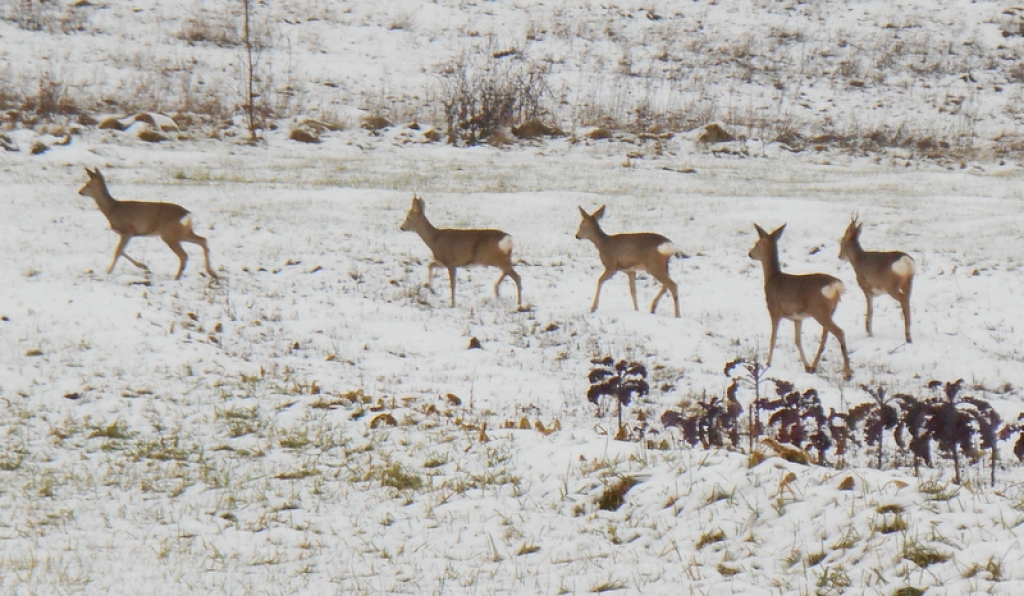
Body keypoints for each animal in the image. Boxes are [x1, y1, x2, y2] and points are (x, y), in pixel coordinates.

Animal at [78, 166, 218, 280]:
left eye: (88, 184)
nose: (80, 192)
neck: (112, 209)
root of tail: (186, 213)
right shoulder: (128, 233)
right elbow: (121, 250)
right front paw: (144, 266)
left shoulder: (127, 230)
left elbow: (117, 251)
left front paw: (108, 271)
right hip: (182, 233)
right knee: (203, 240)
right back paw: (211, 273)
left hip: (169, 234)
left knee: (184, 255)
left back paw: (177, 277)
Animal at [749, 224, 851, 382]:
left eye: (757, 243)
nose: (750, 254)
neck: (772, 278)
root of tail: (836, 285)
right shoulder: (797, 318)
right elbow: (797, 340)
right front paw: (806, 366)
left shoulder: (774, 310)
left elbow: (773, 338)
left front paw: (768, 363)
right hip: (830, 310)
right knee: (825, 337)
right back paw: (813, 367)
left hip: (819, 310)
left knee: (839, 332)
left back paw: (847, 373)